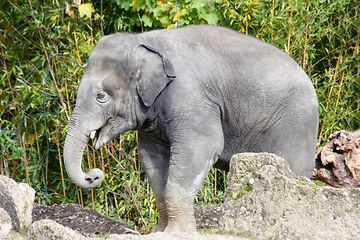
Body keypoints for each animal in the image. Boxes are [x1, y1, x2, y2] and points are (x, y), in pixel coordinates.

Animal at [63, 25, 320, 232]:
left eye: (101, 96)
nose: (93, 175)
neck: (145, 40)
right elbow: (152, 158)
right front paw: (158, 233)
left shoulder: (192, 98)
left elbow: (202, 147)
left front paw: (176, 233)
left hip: (296, 127)